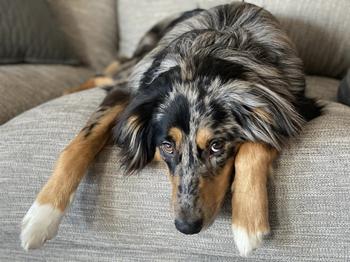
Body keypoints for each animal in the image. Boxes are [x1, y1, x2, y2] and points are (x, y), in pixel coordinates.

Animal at [19, 2, 320, 256]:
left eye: (217, 146)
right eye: (167, 146)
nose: (186, 227)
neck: (204, 55)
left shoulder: (297, 106)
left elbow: (258, 142)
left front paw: (247, 222)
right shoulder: (129, 92)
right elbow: (81, 143)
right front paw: (42, 216)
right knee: (106, 72)